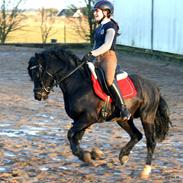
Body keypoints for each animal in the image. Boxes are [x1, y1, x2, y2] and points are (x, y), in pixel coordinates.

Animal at [27, 47, 172, 179]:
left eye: (39, 72)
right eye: (31, 74)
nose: (38, 95)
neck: (77, 84)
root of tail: (154, 87)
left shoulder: (88, 118)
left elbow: (71, 134)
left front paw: (87, 155)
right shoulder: (79, 120)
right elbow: (75, 137)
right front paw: (90, 155)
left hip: (147, 116)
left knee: (150, 142)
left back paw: (145, 171)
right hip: (123, 119)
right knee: (136, 135)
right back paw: (123, 156)